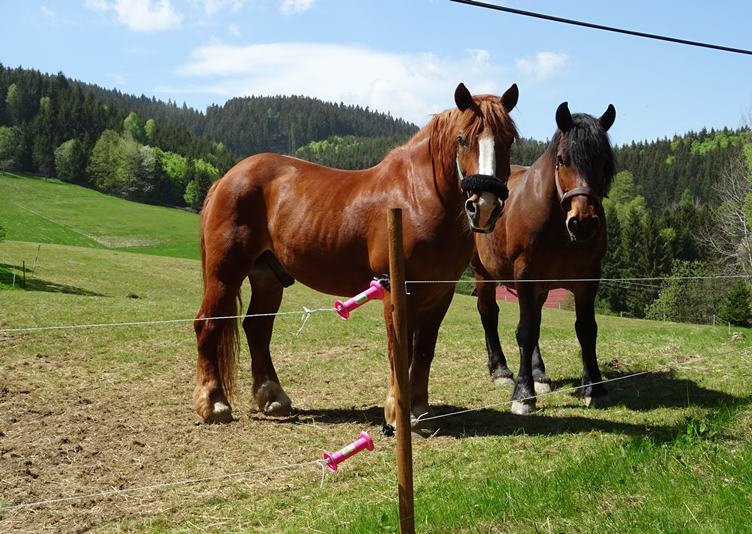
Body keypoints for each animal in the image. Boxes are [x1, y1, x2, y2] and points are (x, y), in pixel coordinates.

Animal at [193, 82, 520, 424]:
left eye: (509, 139)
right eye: (462, 139)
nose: (484, 206)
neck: (417, 199)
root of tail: (228, 177)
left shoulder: (439, 294)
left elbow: (423, 351)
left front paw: (419, 410)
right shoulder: (395, 290)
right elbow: (398, 349)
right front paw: (397, 413)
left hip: (267, 276)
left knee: (257, 328)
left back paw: (273, 399)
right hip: (225, 272)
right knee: (208, 324)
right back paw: (214, 403)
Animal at [471, 102, 616, 415]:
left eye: (604, 162)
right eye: (562, 160)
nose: (582, 222)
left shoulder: (588, 278)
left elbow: (586, 329)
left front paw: (594, 387)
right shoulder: (526, 275)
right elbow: (526, 331)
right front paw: (523, 393)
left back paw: (539, 375)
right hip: (484, 273)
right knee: (489, 313)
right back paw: (500, 370)